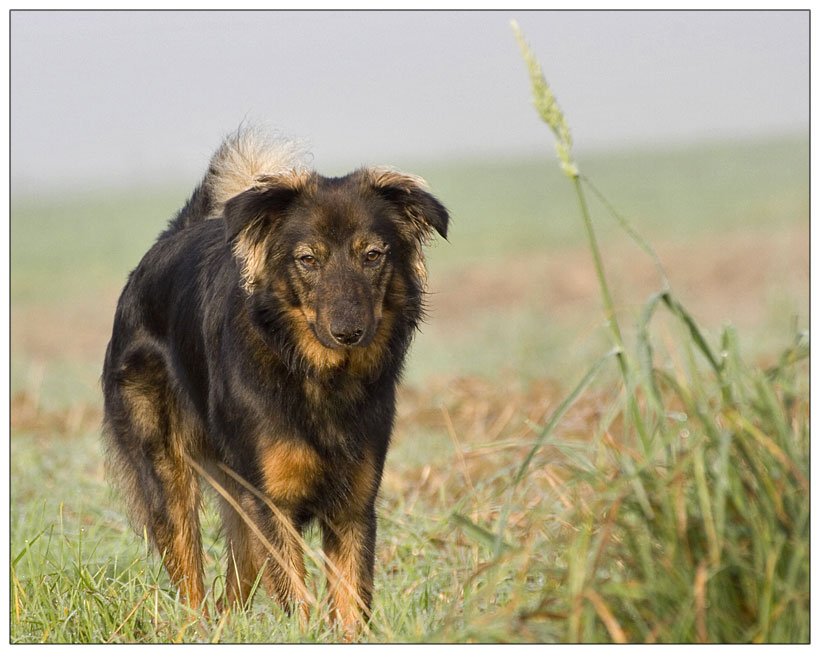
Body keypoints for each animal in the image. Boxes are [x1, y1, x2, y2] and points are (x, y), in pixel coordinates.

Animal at [101, 129, 452, 640]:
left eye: (373, 256)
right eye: (308, 259)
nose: (349, 332)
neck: (318, 376)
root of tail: (169, 239)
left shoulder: (352, 506)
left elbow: (351, 602)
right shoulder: (273, 504)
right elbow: (297, 598)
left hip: (239, 497)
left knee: (232, 588)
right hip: (168, 474)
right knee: (191, 581)